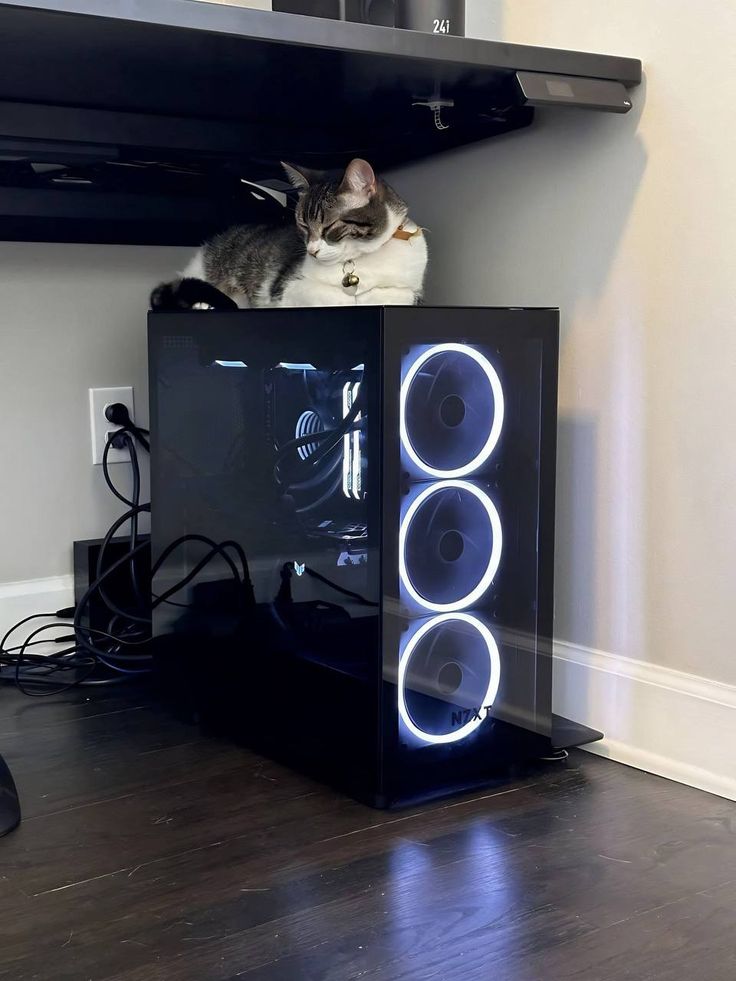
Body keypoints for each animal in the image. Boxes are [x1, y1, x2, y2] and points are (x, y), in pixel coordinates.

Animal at [150, 158, 426, 310]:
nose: (312, 251)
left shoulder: (409, 289)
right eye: (302, 225)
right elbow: (327, 297)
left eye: (328, 227)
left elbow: (394, 293)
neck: (359, 263)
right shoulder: (288, 287)